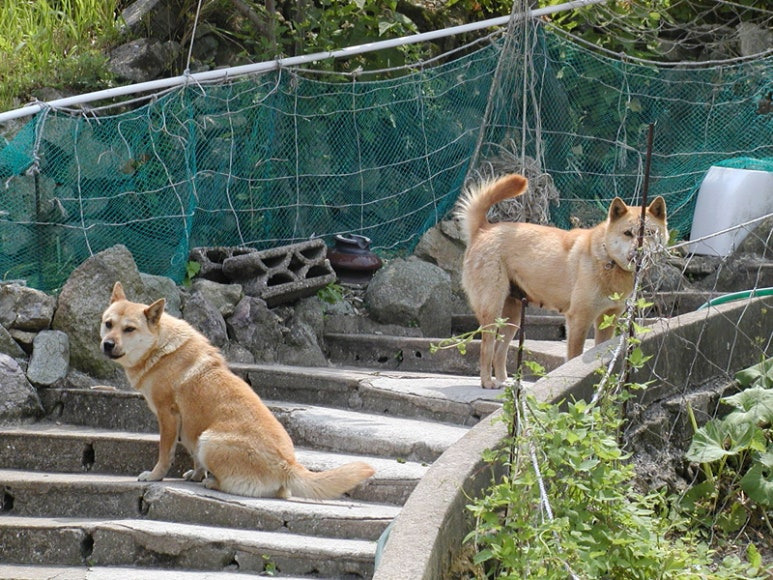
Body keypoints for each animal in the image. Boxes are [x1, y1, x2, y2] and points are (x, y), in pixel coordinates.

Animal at [100, 282, 375, 498]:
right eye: (108, 324)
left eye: (129, 329)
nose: (107, 344)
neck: (161, 348)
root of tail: (286, 464)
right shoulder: (189, 429)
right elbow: (194, 459)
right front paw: (195, 474)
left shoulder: (168, 417)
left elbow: (165, 454)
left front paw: (155, 476)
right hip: (204, 438)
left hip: (209, 439)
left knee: (229, 484)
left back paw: (212, 483)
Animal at [457, 174, 667, 389]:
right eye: (628, 233)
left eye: (650, 233)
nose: (639, 252)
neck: (607, 259)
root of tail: (483, 228)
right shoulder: (578, 319)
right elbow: (574, 356)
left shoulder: (608, 319)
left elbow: (601, 352)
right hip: (492, 309)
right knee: (486, 348)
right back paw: (487, 382)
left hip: (512, 316)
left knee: (500, 350)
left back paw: (504, 382)